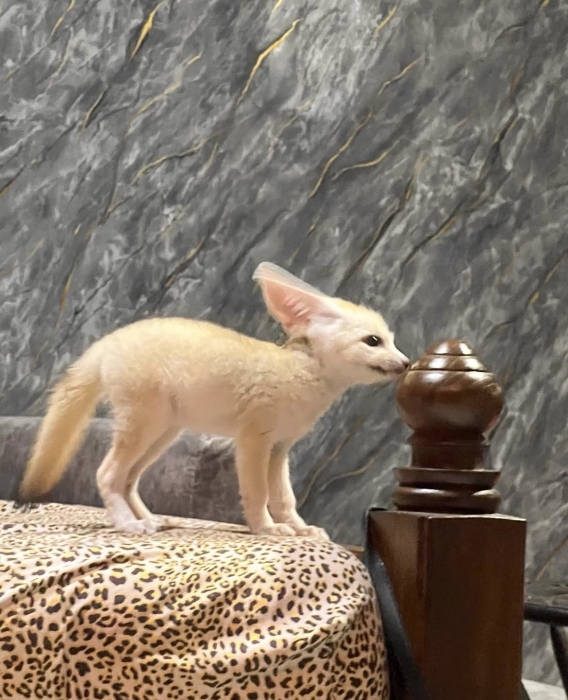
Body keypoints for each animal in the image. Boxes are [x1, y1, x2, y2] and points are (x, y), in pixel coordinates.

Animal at [18, 262, 409, 540]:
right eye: (373, 341)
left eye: (392, 340)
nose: (406, 363)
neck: (301, 372)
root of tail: (107, 342)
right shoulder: (254, 441)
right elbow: (257, 492)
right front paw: (266, 529)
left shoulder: (280, 449)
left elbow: (284, 496)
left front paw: (299, 528)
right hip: (145, 426)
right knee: (107, 474)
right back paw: (129, 525)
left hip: (162, 434)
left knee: (127, 479)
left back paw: (149, 519)